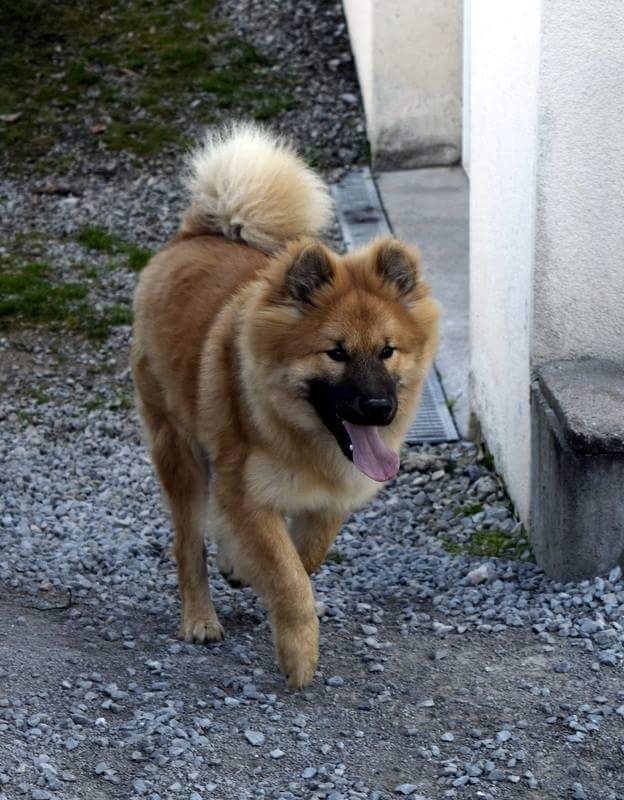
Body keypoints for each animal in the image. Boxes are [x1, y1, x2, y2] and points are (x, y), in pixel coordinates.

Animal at [130, 125, 438, 688]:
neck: (305, 439)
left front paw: (254, 574)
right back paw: (200, 618)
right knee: (187, 545)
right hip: (177, 448)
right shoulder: (246, 490)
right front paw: (298, 652)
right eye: (336, 352)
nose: (379, 407)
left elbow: (306, 556)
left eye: (388, 350)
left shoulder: (334, 495)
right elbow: (288, 574)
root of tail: (195, 235)